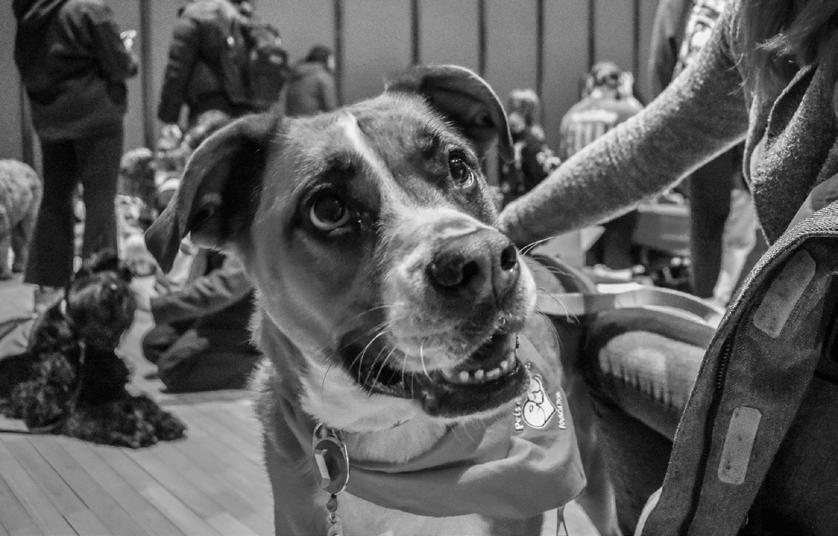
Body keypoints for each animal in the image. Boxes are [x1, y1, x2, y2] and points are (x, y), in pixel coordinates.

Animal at [0, 250, 186, 448]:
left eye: (126, 276)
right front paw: (129, 427)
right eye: (93, 270)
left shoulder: (111, 388)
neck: (82, 343)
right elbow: (90, 413)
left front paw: (162, 418)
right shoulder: (46, 406)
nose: (114, 289)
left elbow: (139, 400)